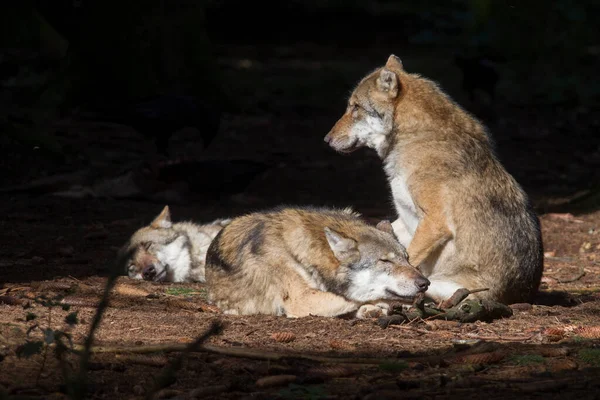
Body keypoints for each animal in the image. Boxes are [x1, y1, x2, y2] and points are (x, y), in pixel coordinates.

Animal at [204, 206, 428, 318]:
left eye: (406, 259)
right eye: (385, 261)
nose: (425, 283)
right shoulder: (301, 300)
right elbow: (352, 297)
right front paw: (381, 304)